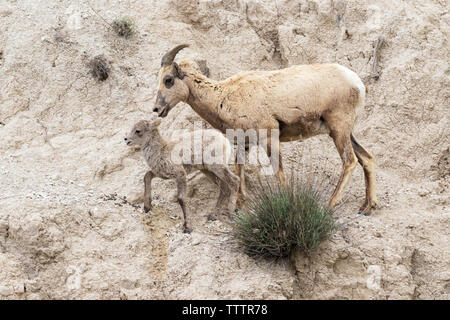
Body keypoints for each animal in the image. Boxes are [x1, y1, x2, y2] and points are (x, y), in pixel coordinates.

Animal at [153, 44, 378, 215]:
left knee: (350, 161)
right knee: (366, 158)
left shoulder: (269, 137)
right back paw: (366, 207)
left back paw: (329, 205)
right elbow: (239, 170)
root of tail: (358, 84)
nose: (157, 109)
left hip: (339, 129)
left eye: (168, 80)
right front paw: (239, 207)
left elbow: (278, 172)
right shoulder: (243, 143)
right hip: (344, 132)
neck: (223, 97)